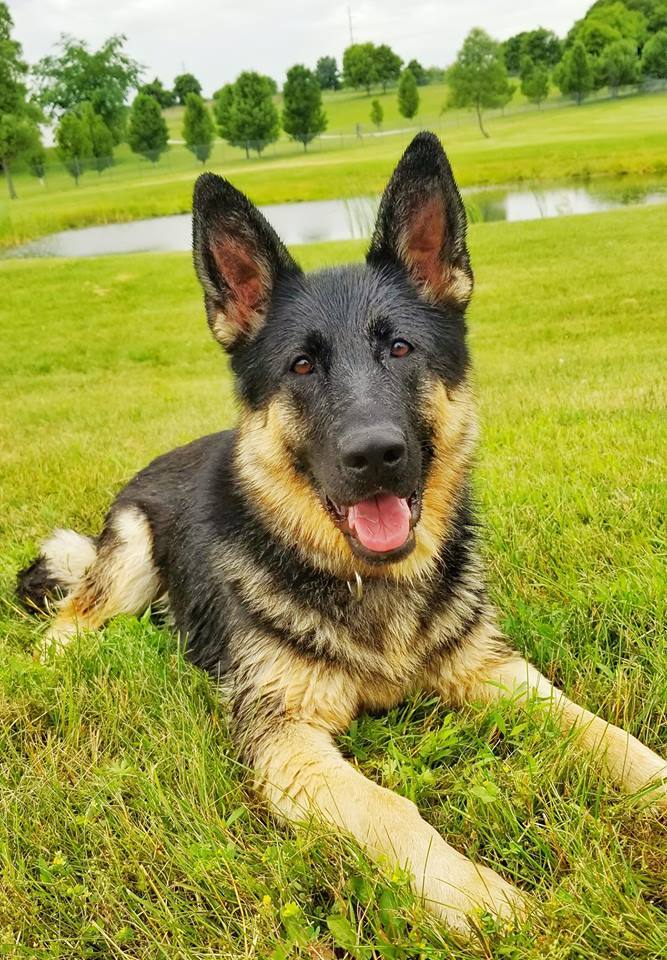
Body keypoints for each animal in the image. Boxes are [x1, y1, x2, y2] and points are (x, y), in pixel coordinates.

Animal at [18, 133, 664, 928]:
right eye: (301, 364)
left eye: (401, 349)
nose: (375, 455)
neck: (368, 580)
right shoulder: (285, 740)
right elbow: (388, 808)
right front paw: (483, 901)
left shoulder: (495, 672)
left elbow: (606, 734)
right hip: (133, 558)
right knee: (67, 620)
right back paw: (52, 661)